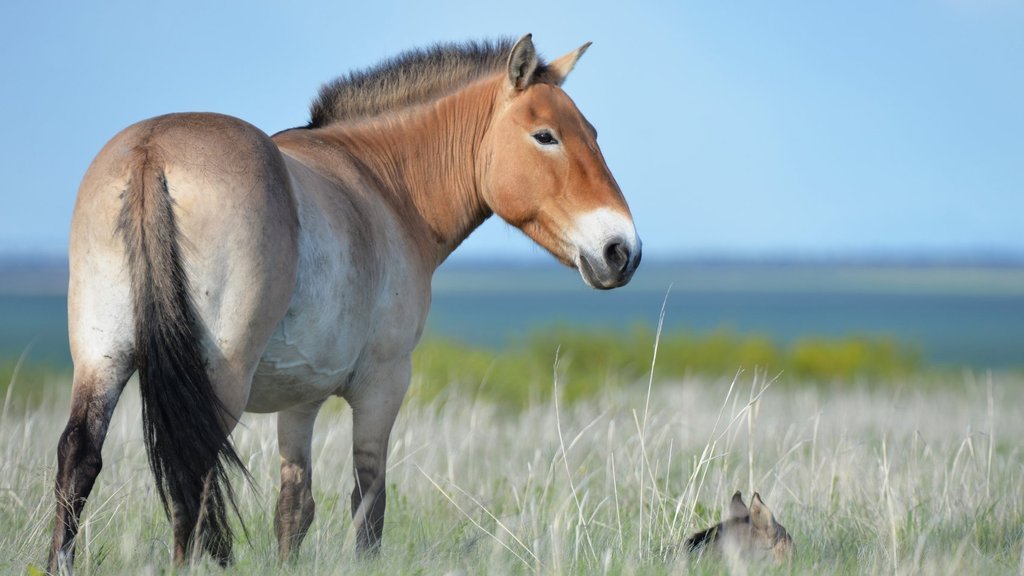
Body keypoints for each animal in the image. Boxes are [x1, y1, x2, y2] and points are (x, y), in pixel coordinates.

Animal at [48, 34, 641, 572]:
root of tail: (153, 152)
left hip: (102, 360)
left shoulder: (300, 398)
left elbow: (294, 509)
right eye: (545, 136)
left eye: (590, 133)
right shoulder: (383, 384)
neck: (385, 186)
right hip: (220, 376)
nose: (622, 251)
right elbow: (368, 502)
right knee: (189, 472)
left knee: (80, 459)